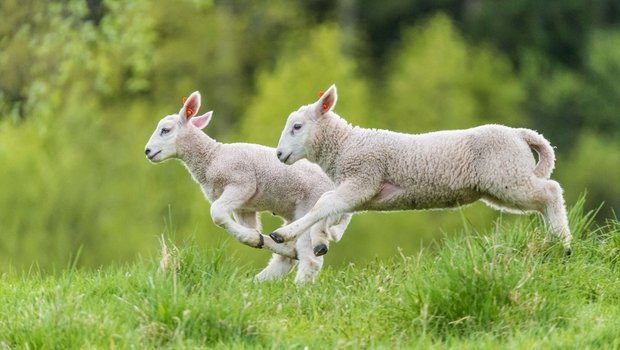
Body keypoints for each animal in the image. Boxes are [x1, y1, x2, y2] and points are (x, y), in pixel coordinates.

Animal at [142, 91, 352, 284]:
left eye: (165, 130)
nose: (147, 151)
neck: (212, 157)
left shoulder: (242, 183)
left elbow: (217, 214)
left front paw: (253, 238)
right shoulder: (243, 207)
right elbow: (244, 228)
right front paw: (255, 238)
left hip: (311, 207)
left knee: (310, 260)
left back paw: (298, 287)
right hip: (295, 214)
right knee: (288, 257)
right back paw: (262, 276)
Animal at [270, 83, 572, 256]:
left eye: (297, 126)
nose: (279, 154)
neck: (346, 144)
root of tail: (521, 134)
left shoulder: (363, 177)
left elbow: (324, 204)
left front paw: (284, 234)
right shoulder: (361, 190)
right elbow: (330, 208)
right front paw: (320, 240)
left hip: (507, 175)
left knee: (551, 191)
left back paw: (564, 244)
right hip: (502, 183)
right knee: (543, 200)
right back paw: (554, 243)